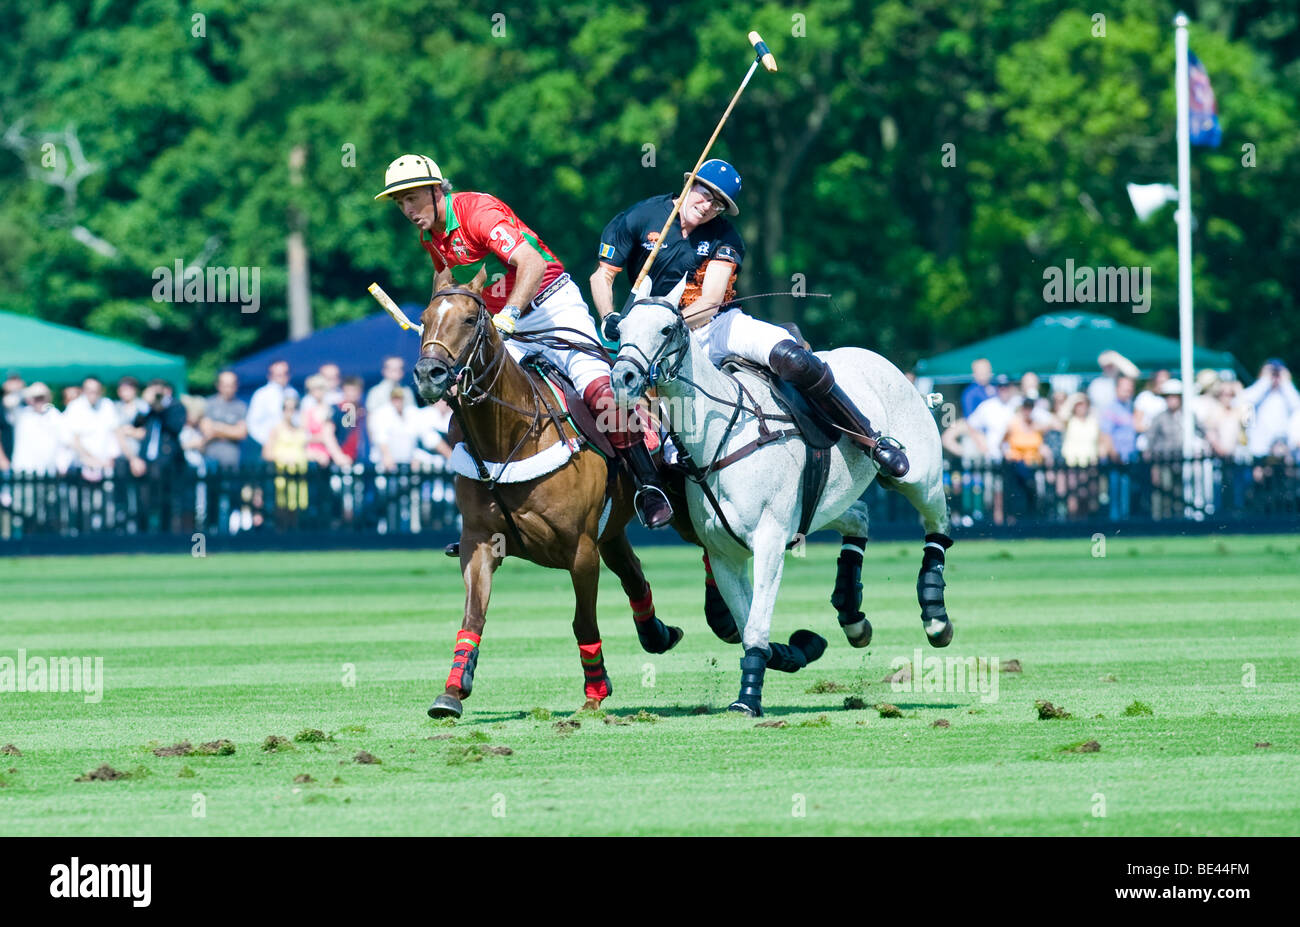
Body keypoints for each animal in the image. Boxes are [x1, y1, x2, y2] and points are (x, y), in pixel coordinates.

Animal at [410, 267, 686, 717]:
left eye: (469, 320)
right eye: (424, 317)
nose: (428, 374)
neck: (509, 439)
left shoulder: (581, 549)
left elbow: (583, 621)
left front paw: (595, 693)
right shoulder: (479, 542)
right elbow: (473, 616)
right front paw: (451, 692)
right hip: (611, 530)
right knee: (634, 574)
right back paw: (658, 634)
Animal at [608, 297, 956, 717]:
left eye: (665, 329)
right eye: (620, 329)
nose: (623, 377)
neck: (719, 438)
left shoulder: (769, 539)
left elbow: (756, 623)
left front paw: (748, 699)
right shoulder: (723, 555)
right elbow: (746, 625)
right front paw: (785, 657)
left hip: (919, 477)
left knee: (938, 526)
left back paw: (935, 615)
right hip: (824, 504)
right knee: (859, 518)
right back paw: (852, 615)